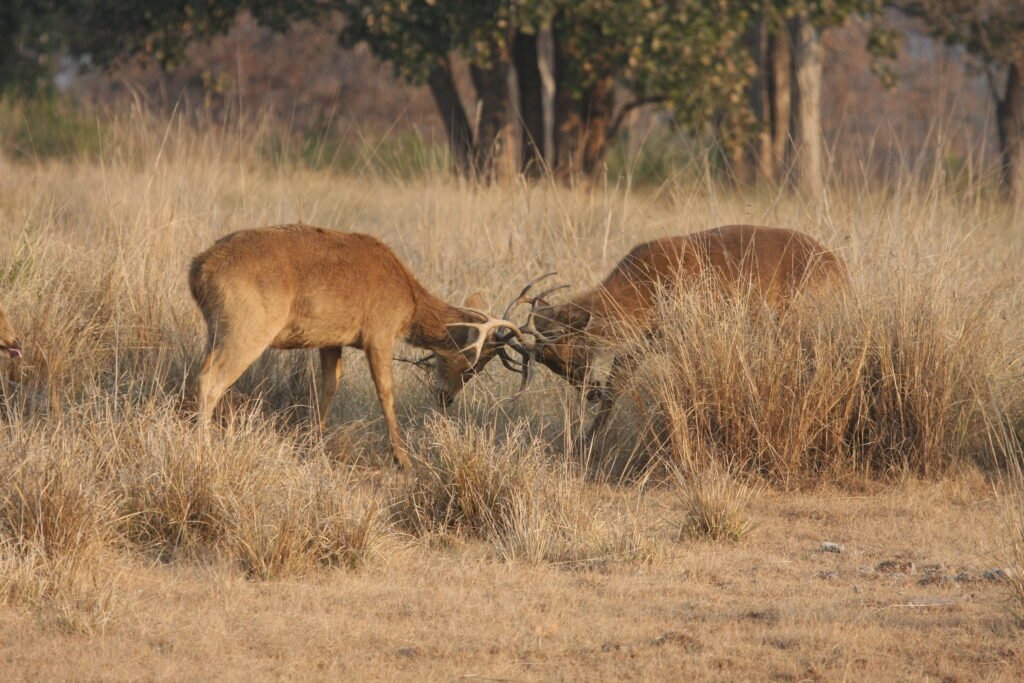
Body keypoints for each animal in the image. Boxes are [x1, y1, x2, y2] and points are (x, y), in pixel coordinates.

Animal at [188, 224, 532, 470]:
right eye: (474, 360)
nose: (446, 398)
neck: (408, 301)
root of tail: (198, 270)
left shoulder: (331, 340)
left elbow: (329, 385)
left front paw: (315, 444)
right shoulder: (379, 332)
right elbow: (386, 392)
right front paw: (403, 459)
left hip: (219, 328)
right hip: (248, 326)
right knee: (210, 379)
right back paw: (204, 449)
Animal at [496, 225, 849, 444]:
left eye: (566, 352)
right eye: (550, 365)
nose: (589, 392)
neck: (644, 286)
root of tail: (837, 265)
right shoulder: (647, 340)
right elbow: (618, 379)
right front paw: (587, 440)